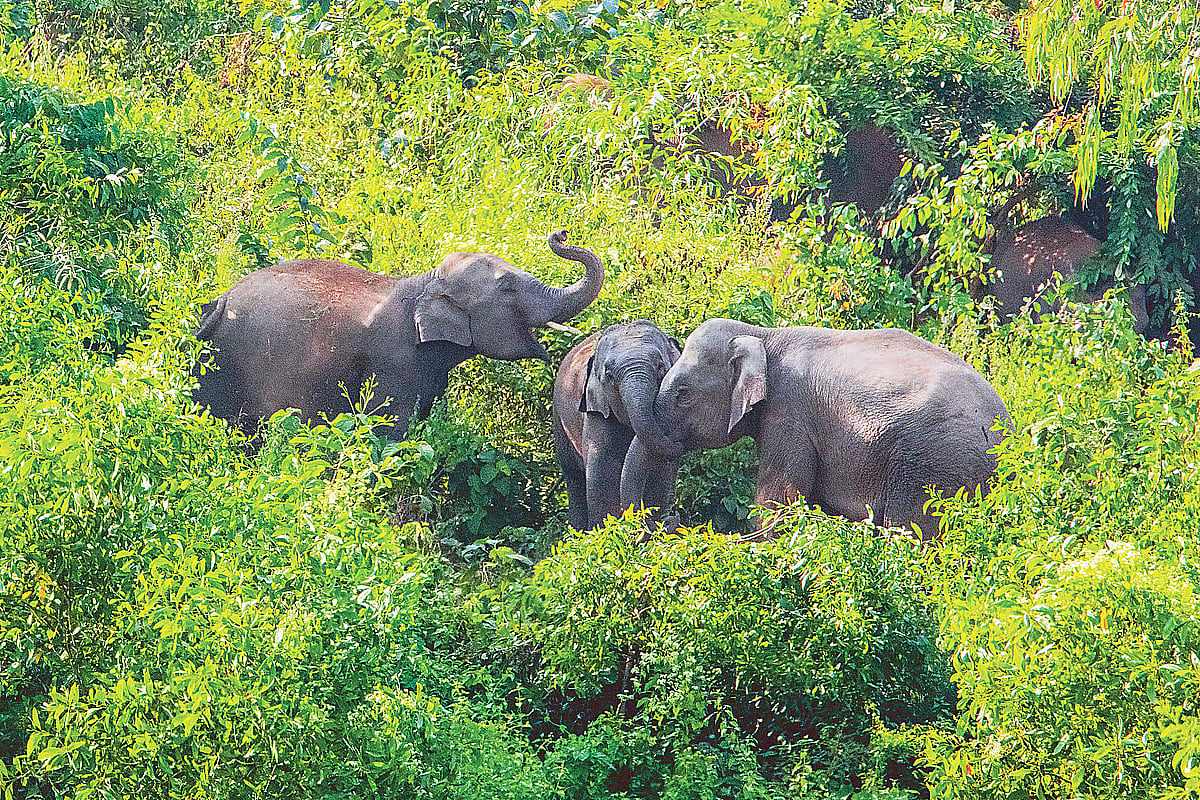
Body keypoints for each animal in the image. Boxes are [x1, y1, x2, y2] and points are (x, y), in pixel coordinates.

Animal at [193, 229, 604, 440]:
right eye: (506, 287)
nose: (560, 233)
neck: (425, 282)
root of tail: (218, 302)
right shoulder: (394, 364)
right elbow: (392, 432)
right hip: (222, 367)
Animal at [552, 320, 682, 530]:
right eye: (610, 375)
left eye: (661, 366)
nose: (673, 516)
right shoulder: (597, 410)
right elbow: (602, 470)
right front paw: (608, 530)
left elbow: (660, 472)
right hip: (559, 422)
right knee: (574, 477)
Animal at [620, 318, 1010, 539]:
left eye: (683, 394)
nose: (673, 517)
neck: (764, 337)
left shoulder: (790, 414)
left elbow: (778, 502)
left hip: (932, 463)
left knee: (912, 529)